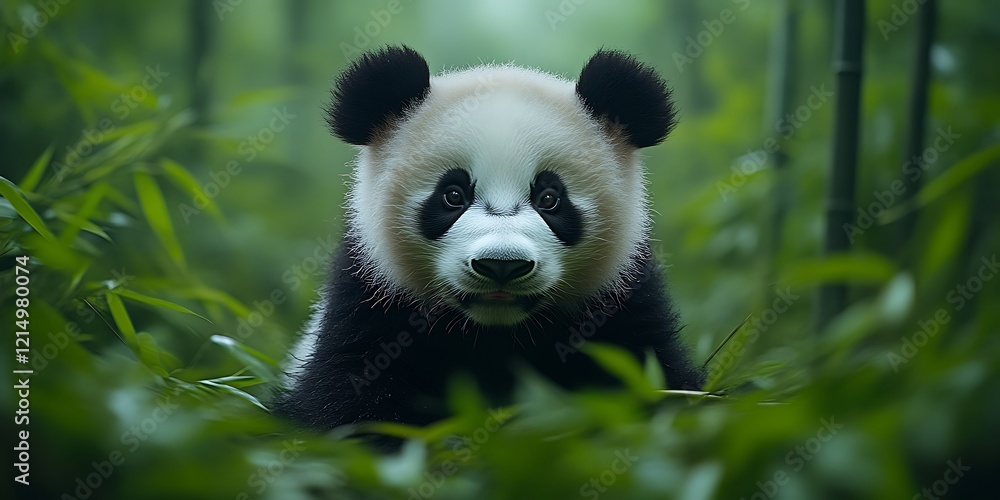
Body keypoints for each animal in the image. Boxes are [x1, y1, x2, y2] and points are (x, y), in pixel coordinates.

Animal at [274, 45, 704, 432]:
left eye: (550, 198)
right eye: (452, 195)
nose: (501, 265)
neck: (496, 333)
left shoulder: (619, 304)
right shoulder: (371, 303)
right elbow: (351, 398)